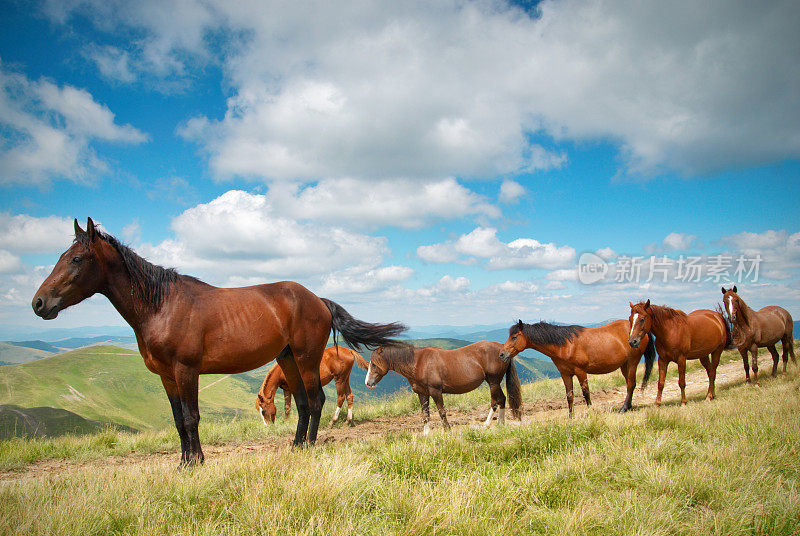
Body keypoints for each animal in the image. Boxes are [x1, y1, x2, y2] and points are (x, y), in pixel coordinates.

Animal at [31, 218, 406, 464]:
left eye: (76, 258)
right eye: (61, 256)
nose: (39, 303)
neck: (161, 305)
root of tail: (318, 300)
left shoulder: (186, 371)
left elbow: (191, 417)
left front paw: (196, 462)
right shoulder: (167, 377)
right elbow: (178, 419)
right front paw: (183, 462)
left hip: (306, 358)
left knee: (316, 401)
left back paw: (309, 447)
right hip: (287, 359)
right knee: (302, 402)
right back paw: (296, 446)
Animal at [366, 342, 520, 434]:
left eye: (373, 364)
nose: (368, 383)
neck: (418, 363)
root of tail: (503, 350)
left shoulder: (435, 391)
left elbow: (442, 412)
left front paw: (447, 430)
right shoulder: (422, 393)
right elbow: (425, 414)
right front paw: (426, 434)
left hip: (493, 382)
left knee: (495, 402)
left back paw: (487, 425)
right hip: (494, 382)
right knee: (502, 399)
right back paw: (500, 423)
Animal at [500, 318, 656, 414]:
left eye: (514, 337)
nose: (502, 354)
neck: (565, 345)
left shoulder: (581, 372)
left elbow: (586, 393)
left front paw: (590, 412)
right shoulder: (565, 374)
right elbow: (569, 396)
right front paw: (571, 417)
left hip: (633, 362)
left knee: (631, 384)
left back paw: (624, 408)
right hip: (624, 365)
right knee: (630, 384)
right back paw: (627, 406)